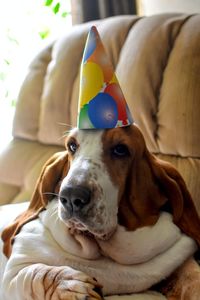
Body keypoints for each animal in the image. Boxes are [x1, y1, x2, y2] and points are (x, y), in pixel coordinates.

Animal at [1, 123, 200, 298]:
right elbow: (37, 274)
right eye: (72, 145)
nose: (71, 196)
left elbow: (191, 276)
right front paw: (71, 285)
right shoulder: (13, 276)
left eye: (120, 149)